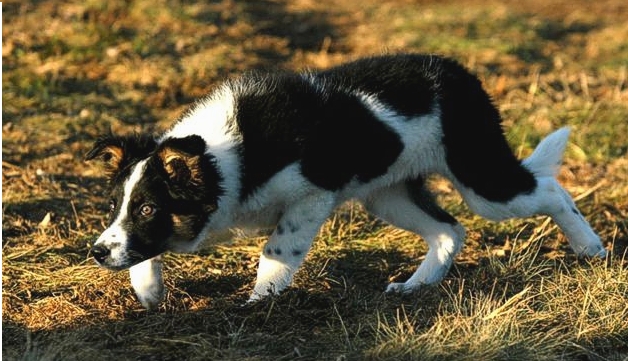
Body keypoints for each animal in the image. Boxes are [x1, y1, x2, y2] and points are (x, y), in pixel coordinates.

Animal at [86, 54, 604, 310]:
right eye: (116, 205)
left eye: (149, 208)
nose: (95, 254)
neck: (227, 155)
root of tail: (460, 74)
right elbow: (143, 253)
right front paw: (149, 292)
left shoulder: (311, 196)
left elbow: (276, 249)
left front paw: (259, 300)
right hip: (388, 194)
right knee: (448, 230)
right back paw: (416, 285)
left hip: (481, 179)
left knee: (548, 189)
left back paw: (590, 248)